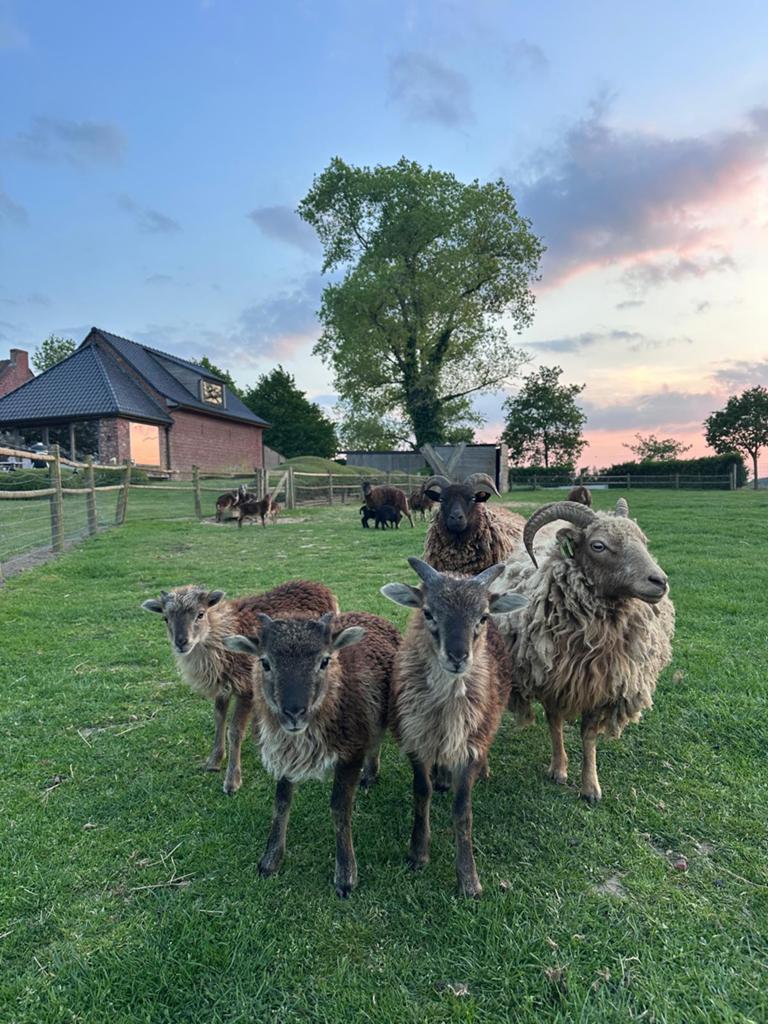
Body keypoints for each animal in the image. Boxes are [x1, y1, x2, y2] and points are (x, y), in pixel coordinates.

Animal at [141, 581, 339, 795]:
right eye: (165, 618)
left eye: (200, 614)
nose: (181, 642)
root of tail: (319, 586)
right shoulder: (224, 687)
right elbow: (219, 719)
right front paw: (214, 761)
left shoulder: (245, 687)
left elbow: (234, 731)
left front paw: (232, 781)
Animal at [223, 611, 401, 897]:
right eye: (265, 662)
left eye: (324, 660)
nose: (294, 712)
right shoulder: (286, 756)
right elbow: (281, 803)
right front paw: (270, 860)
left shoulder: (352, 751)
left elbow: (339, 808)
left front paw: (345, 877)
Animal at [381, 557, 529, 898]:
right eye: (427, 612)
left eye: (483, 616)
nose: (458, 656)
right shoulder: (417, 739)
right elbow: (421, 793)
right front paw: (418, 854)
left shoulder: (471, 746)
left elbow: (463, 811)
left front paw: (468, 879)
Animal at [497, 498, 674, 803]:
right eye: (598, 545)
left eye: (643, 541)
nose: (659, 581)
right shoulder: (551, 679)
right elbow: (555, 723)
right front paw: (559, 769)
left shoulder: (601, 684)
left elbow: (588, 734)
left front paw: (590, 786)